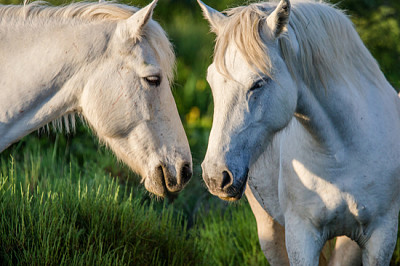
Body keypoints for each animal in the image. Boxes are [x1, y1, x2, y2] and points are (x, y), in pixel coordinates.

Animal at [198, 0, 400, 264]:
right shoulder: (300, 237)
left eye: (258, 83)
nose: (215, 177)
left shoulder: (381, 237)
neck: (344, 153)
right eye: (211, 81)